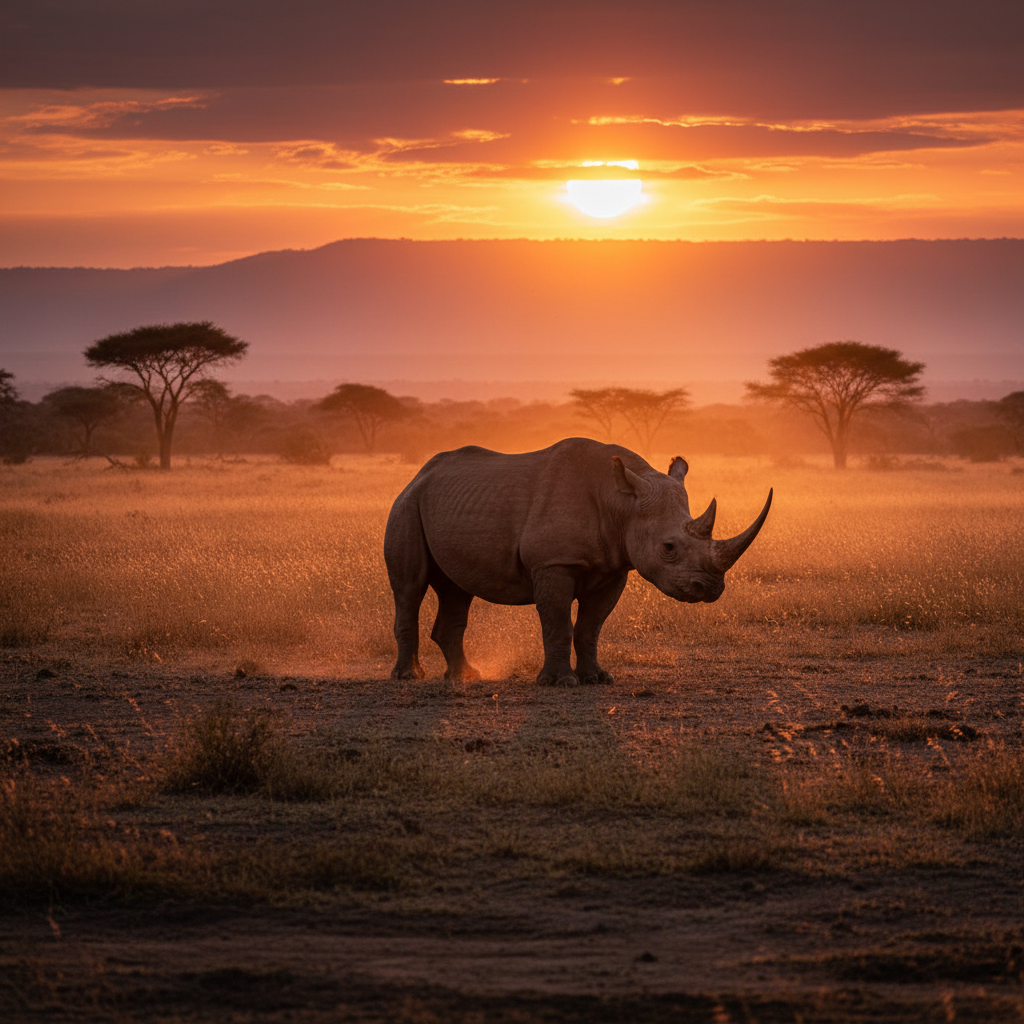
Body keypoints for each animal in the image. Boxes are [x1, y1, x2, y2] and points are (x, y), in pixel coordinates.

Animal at [384, 437, 771, 686]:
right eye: (669, 547)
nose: (710, 589)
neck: (622, 502)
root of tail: (417, 476)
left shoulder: (614, 567)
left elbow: (591, 626)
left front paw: (597, 679)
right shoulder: (553, 563)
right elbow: (558, 622)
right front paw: (559, 682)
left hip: (441, 505)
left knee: (456, 590)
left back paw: (465, 677)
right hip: (406, 505)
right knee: (409, 587)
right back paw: (408, 678)